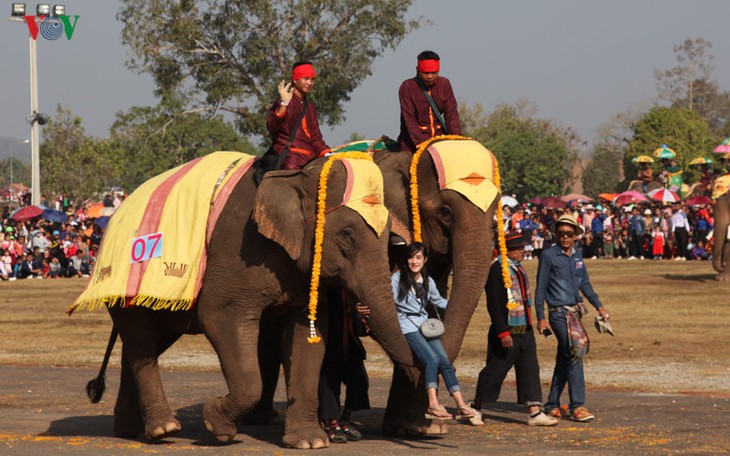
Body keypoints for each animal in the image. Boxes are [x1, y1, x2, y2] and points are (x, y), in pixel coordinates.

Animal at [79, 155, 412, 448]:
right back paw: (164, 429)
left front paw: (309, 442)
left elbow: (308, 336)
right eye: (346, 234)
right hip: (123, 277)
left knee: (141, 343)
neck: (297, 177)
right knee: (140, 341)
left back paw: (132, 431)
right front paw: (215, 423)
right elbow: (221, 318)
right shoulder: (238, 257)